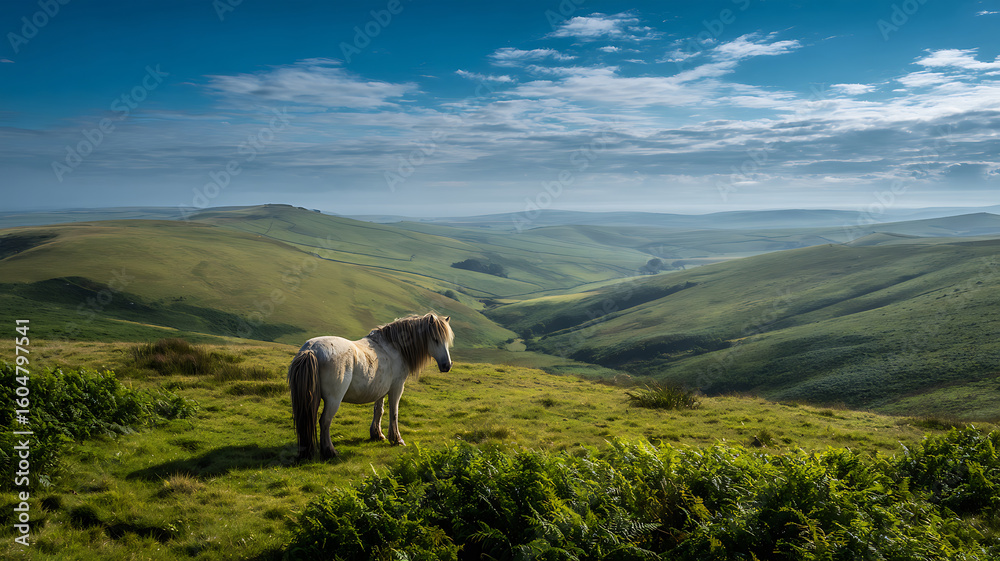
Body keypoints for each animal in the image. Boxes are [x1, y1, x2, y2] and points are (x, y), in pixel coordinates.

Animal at [287, 312, 454, 460]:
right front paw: (397, 439)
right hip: (333, 400)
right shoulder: (396, 388)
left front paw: (377, 435)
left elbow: (378, 411)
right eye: (435, 339)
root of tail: (311, 349)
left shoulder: (381, 390)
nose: (447, 365)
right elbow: (394, 413)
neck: (394, 347)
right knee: (325, 421)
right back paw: (330, 451)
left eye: (447, 341)